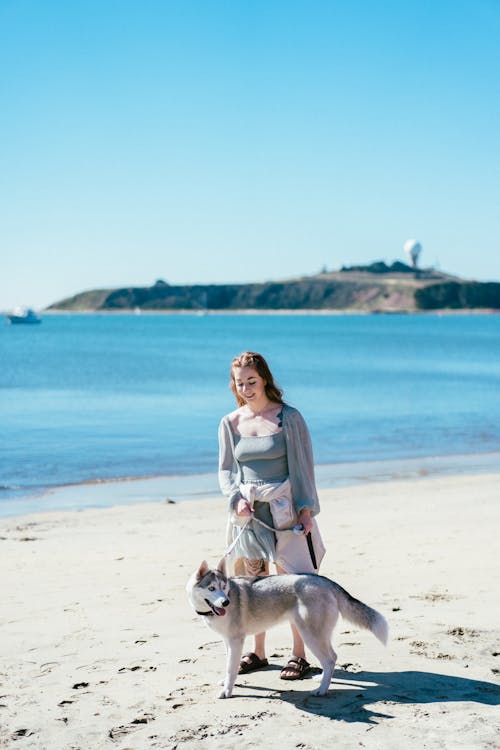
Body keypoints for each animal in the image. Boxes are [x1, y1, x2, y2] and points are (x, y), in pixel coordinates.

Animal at [187, 560, 386, 700]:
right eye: (211, 588)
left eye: (223, 588)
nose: (226, 602)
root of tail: (326, 581)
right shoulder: (228, 641)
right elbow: (230, 666)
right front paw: (227, 683)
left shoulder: (236, 641)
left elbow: (231, 668)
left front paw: (227, 691)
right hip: (320, 634)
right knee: (333, 657)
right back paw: (322, 679)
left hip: (309, 635)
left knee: (329, 660)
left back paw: (321, 690)